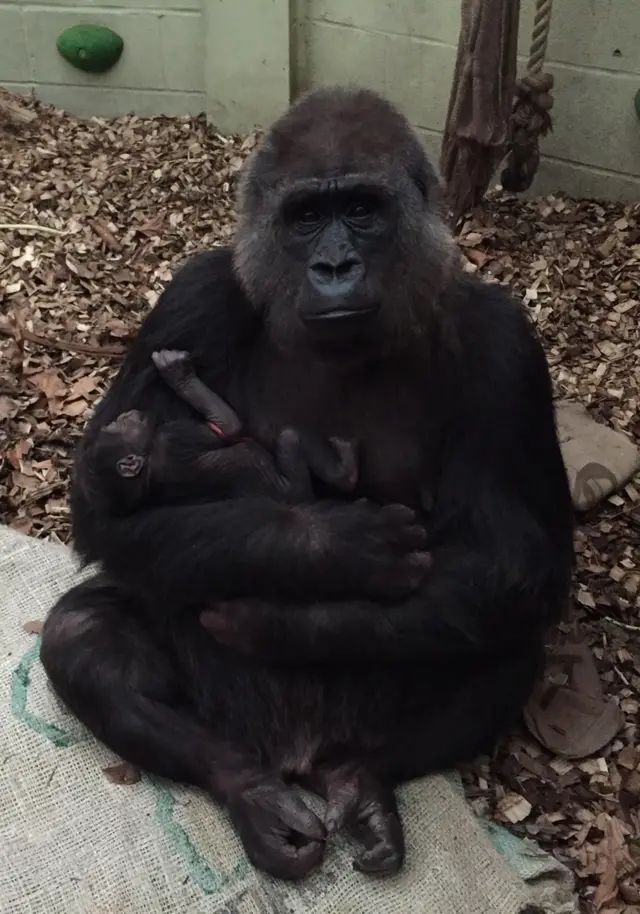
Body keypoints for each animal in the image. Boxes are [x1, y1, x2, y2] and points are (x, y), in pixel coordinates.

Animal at [92, 348, 358, 510]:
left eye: (114, 426)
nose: (123, 417)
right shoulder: (178, 436)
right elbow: (230, 425)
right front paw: (179, 374)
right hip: (297, 490)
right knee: (290, 438)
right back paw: (346, 470)